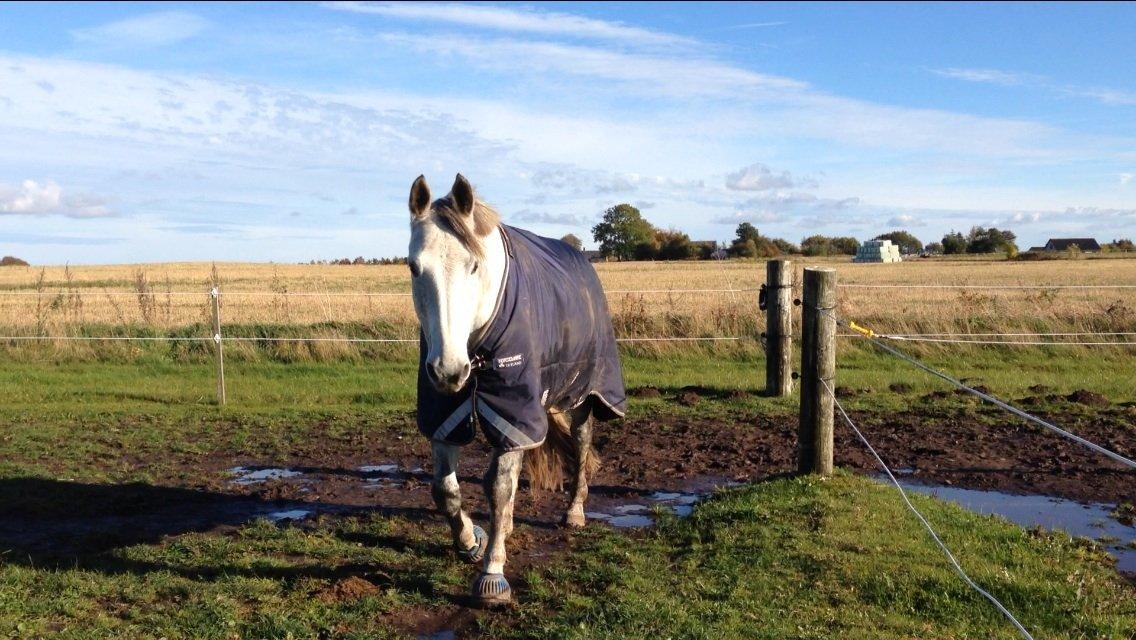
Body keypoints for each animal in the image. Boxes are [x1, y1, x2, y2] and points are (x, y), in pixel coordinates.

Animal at [406, 173, 622, 604]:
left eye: (473, 265)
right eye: (414, 267)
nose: (448, 370)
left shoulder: (513, 408)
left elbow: (500, 487)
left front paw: (493, 573)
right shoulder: (445, 412)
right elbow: (445, 490)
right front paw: (472, 541)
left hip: (582, 393)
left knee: (582, 445)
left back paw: (574, 512)